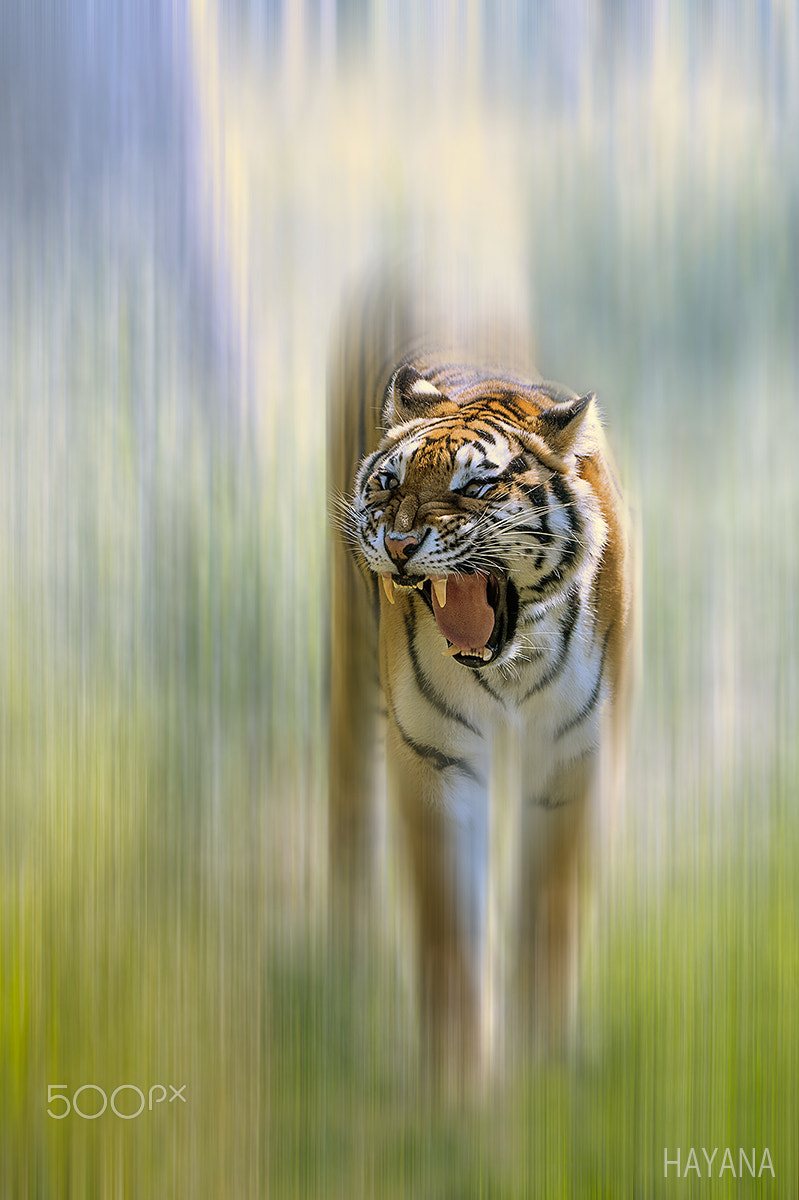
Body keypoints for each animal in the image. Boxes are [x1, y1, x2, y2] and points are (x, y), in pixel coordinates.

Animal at [327, 270, 632, 1087]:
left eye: (475, 488)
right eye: (388, 483)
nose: (398, 542)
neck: (511, 662)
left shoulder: (574, 756)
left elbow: (551, 910)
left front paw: (545, 1073)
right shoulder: (433, 759)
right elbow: (447, 932)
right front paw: (459, 1090)